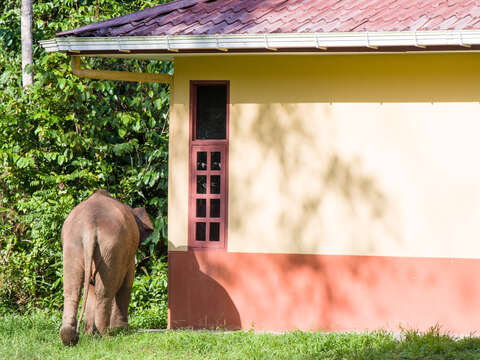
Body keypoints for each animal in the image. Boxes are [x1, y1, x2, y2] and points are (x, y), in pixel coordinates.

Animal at [59, 190, 154, 344]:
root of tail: (88, 227)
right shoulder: (127, 257)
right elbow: (127, 282)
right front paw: (122, 330)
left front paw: (89, 334)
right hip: (112, 247)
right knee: (106, 292)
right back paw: (107, 336)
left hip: (73, 243)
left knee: (73, 291)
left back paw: (71, 337)